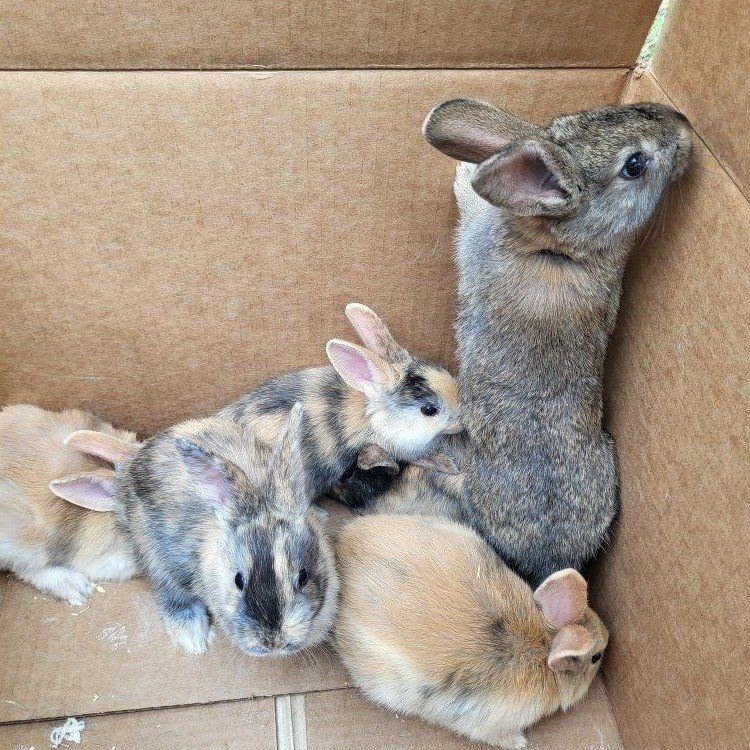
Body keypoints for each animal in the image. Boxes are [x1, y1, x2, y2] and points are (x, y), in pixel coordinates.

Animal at [52, 404, 339, 656]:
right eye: (238, 580)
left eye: (303, 577)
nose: (273, 643)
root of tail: (132, 461)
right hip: (152, 552)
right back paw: (192, 635)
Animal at [218, 302, 463, 500]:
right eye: (429, 410)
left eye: (444, 372)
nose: (463, 422)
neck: (374, 415)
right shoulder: (400, 449)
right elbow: (420, 457)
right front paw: (448, 465)